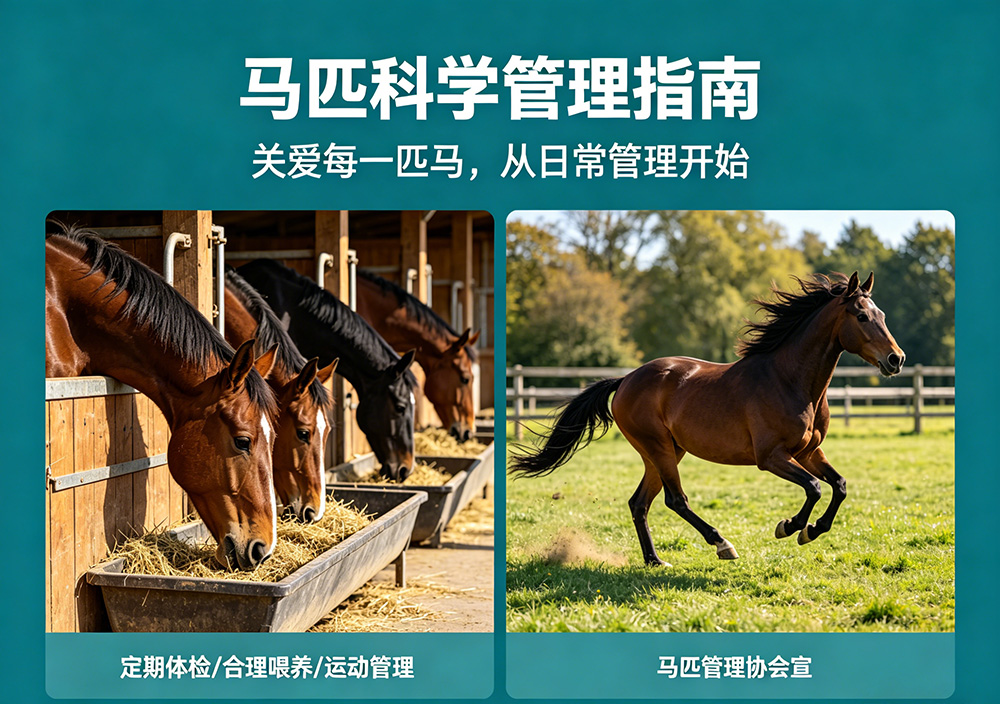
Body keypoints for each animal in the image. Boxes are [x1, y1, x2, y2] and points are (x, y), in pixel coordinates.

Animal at [509, 272, 906, 567]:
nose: (896, 359)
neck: (790, 380)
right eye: (862, 316)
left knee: (640, 503)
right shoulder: (771, 457)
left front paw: (810, 530)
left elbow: (838, 485)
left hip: (665, 452)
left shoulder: (808, 452)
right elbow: (814, 488)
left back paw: (655, 560)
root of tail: (626, 380)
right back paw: (722, 544)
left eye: (883, 316)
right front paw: (790, 526)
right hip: (659, 448)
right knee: (675, 500)